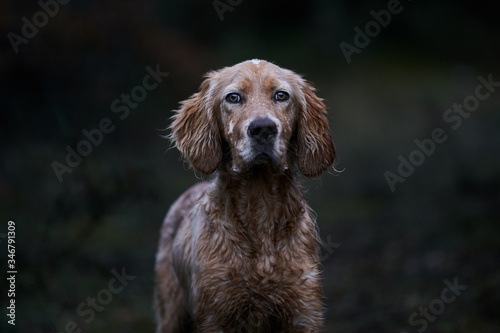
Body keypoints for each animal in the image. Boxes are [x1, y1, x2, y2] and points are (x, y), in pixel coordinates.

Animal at [155, 58, 336, 330]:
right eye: (234, 97)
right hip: (171, 315)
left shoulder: (304, 311)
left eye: (281, 95)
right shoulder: (215, 313)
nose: (263, 128)